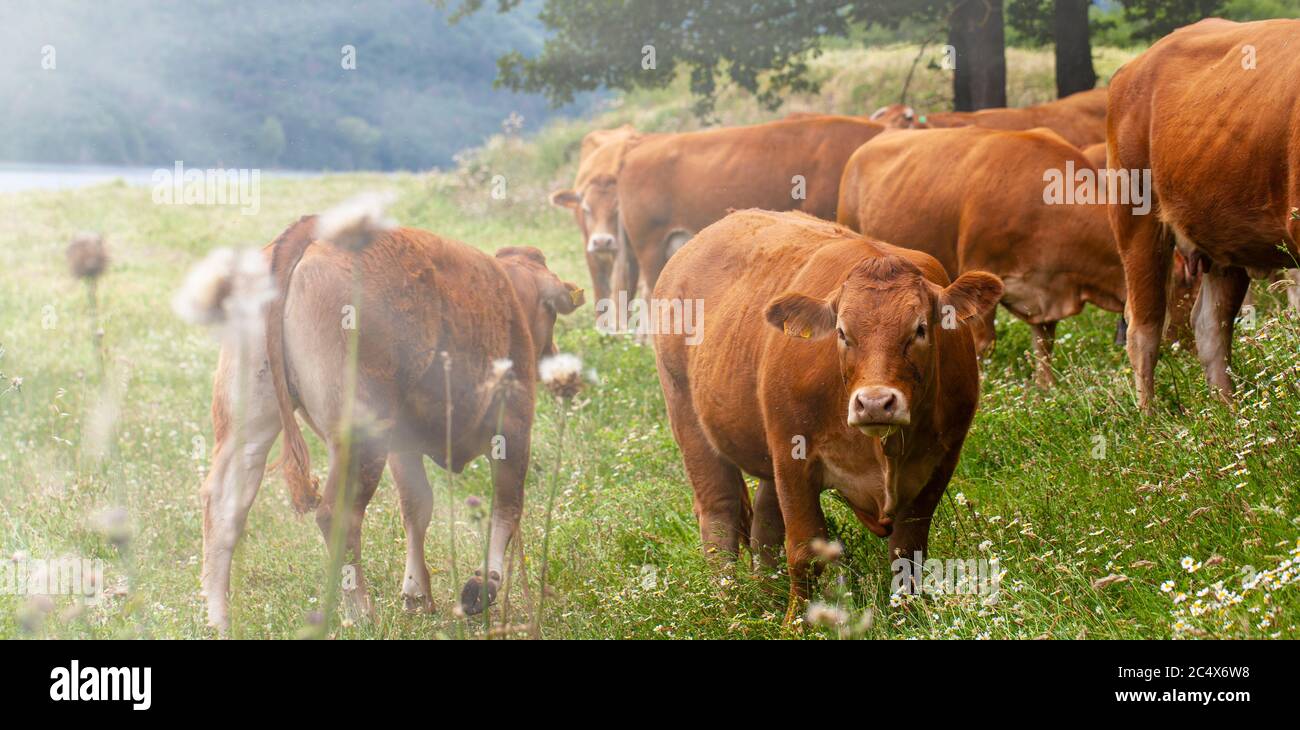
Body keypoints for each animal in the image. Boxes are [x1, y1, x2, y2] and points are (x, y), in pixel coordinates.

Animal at [199, 217, 583, 632]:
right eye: (552, 313)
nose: (556, 359)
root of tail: (313, 231)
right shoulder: (514, 425)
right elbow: (508, 507)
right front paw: (484, 584)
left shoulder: (403, 443)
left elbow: (418, 505)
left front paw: (417, 593)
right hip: (360, 433)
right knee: (337, 514)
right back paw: (360, 613)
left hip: (249, 420)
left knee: (224, 506)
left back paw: (218, 620)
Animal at [653, 209, 1002, 622]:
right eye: (842, 332)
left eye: (919, 329)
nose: (875, 402)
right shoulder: (794, 457)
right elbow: (804, 551)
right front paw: (797, 624)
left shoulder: (941, 462)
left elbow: (908, 552)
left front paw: (908, 614)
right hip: (690, 422)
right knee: (719, 517)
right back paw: (729, 606)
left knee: (765, 523)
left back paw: (767, 597)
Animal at [1108, 18, 1300, 411]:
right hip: (1136, 222)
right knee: (1144, 329)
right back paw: (1150, 416)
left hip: (1221, 238)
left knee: (1210, 327)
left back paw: (1227, 411)